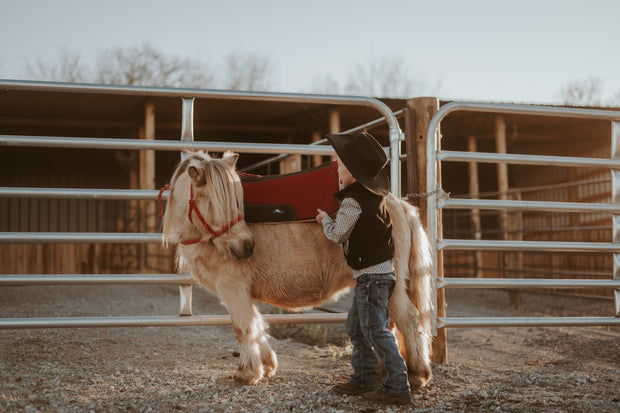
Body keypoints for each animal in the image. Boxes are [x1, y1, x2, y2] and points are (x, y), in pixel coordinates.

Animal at [162, 150, 434, 386]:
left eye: (237, 201)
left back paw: (417, 374)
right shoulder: (241, 292)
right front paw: (267, 365)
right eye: (212, 202)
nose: (247, 246)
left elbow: (243, 328)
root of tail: (400, 205)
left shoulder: (233, 289)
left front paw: (247, 373)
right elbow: (257, 324)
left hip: (389, 285)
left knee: (408, 320)